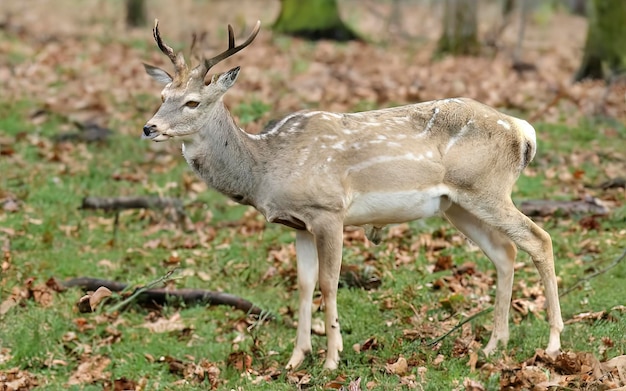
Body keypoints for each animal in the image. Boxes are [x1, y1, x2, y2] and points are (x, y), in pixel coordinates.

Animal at [141, 19, 560, 372]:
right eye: (162, 94)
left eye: (193, 101)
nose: (149, 127)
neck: (266, 168)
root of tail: (523, 130)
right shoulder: (297, 224)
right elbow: (304, 284)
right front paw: (296, 359)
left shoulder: (329, 210)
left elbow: (329, 283)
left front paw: (331, 359)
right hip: (458, 204)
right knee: (505, 251)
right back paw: (494, 345)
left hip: (487, 189)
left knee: (539, 239)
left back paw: (553, 344)